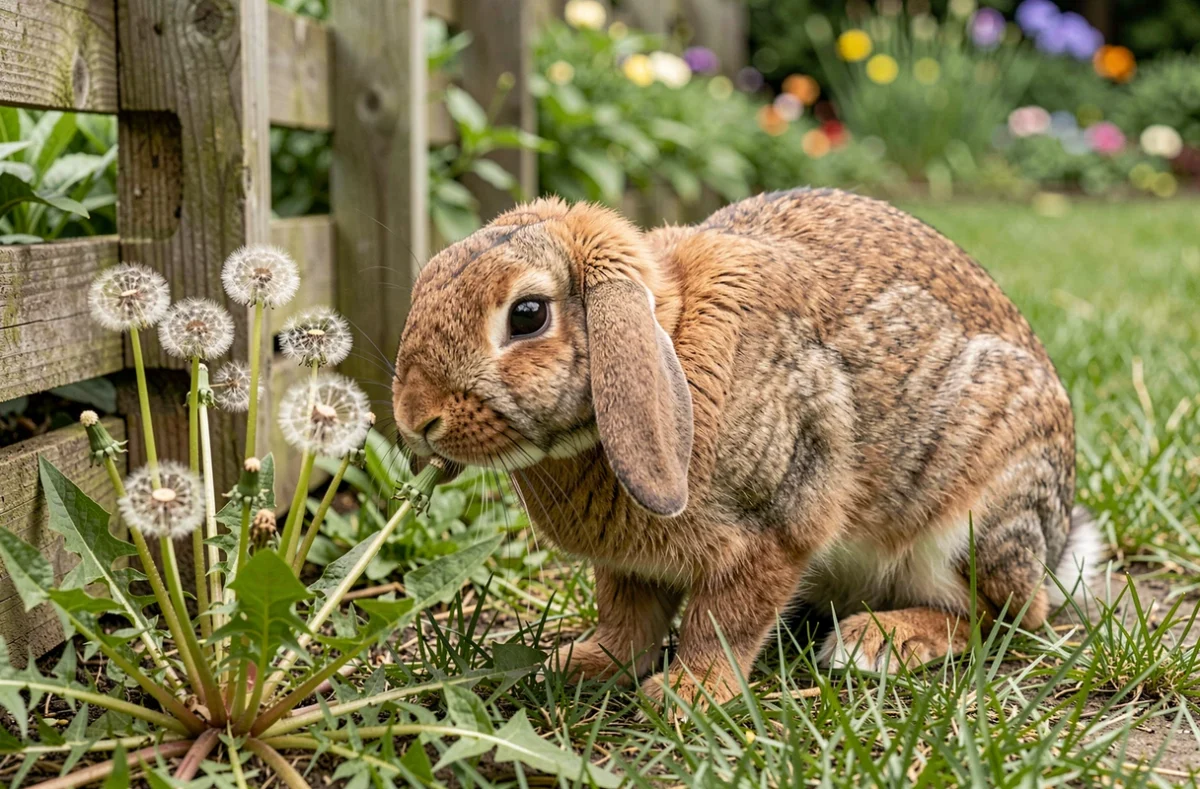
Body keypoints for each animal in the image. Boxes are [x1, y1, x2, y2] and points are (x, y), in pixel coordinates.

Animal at [392, 188, 1103, 708]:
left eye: (528, 314)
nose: (414, 418)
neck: (670, 336)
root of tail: (1056, 539)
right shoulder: (627, 568)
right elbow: (628, 620)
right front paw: (584, 664)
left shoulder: (771, 534)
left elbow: (723, 624)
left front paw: (685, 694)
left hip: (976, 524)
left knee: (1007, 618)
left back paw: (877, 644)